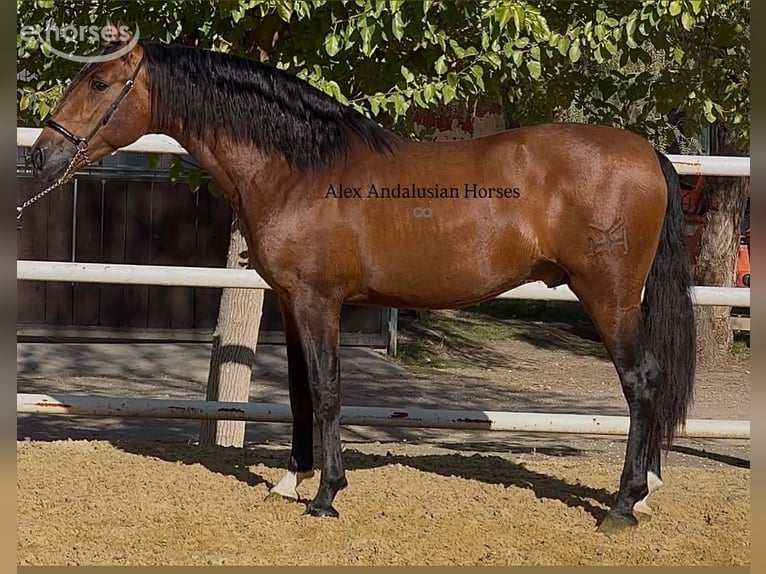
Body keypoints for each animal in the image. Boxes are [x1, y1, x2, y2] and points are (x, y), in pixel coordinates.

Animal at [28, 33, 695, 534]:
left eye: (97, 84)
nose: (41, 156)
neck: (299, 169)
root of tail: (647, 152)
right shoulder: (291, 304)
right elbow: (299, 392)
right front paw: (290, 480)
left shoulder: (320, 304)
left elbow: (327, 392)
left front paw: (327, 495)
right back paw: (643, 491)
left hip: (608, 297)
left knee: (642, 384)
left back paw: (623, 505)